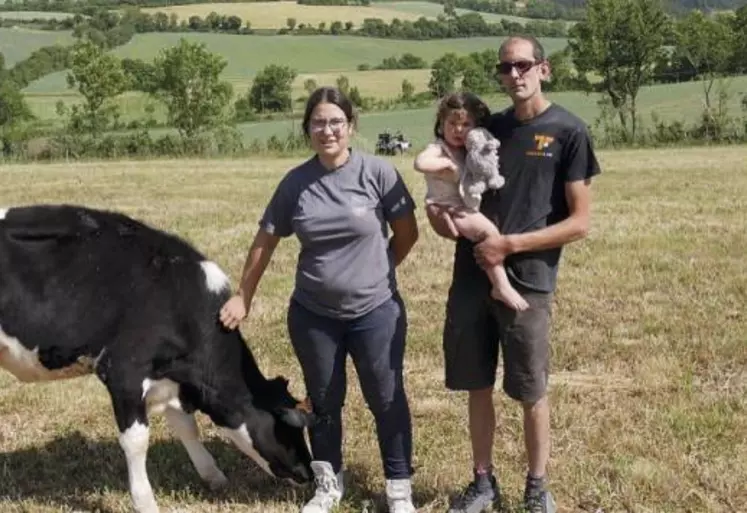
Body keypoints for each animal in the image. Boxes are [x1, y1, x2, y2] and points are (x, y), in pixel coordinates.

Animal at [0, 204, 316, 512]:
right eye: (287, 426)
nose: (308, 473)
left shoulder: (170, 377)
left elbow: (186, 426)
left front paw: (213, 475)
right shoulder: (124, 372)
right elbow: (137, 441)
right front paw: (145, 502)